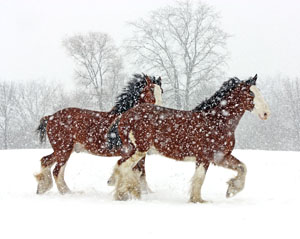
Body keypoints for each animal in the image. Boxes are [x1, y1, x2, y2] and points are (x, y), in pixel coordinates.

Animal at [34, 74, 162, 195]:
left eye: (161, 90)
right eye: (150, 89)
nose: (159, 111)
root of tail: (50, 117)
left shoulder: (140, 154)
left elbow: (141, 172)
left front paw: (146, 192)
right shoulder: (130, 152)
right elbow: (135, 171)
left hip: (62, 150)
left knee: (45, 160)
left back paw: (42, 188)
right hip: (64, 149)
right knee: (57, 170)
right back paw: (67, 192)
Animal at [109, 74, 270, 202]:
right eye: (250, 94)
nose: (266, 113)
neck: (215, 121)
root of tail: (125, 116)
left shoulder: (220, 157)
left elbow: (242, 167)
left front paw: (231, 190)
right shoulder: (204, 158)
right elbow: (199, 179)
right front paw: (198, 200)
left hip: (134, 151)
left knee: (123, 167)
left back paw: (123, 193)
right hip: (139, 150)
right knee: (123, 167)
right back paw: (126, 192)